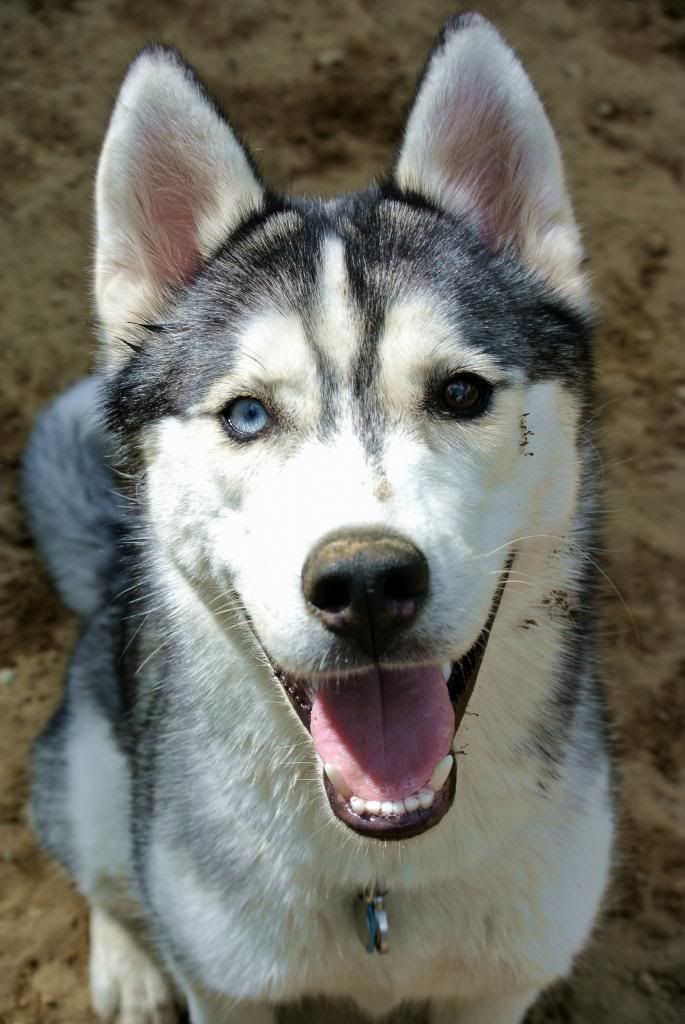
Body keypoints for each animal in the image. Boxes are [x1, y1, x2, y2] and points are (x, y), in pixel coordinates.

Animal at [25, 14, 614, 1024]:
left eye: (461, 393)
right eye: (247, 415)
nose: (367, 582)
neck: (381, 879)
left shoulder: (503, 982)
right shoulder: (224, 984)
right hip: (94, 773)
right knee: (99, 866)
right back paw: (127, 963)